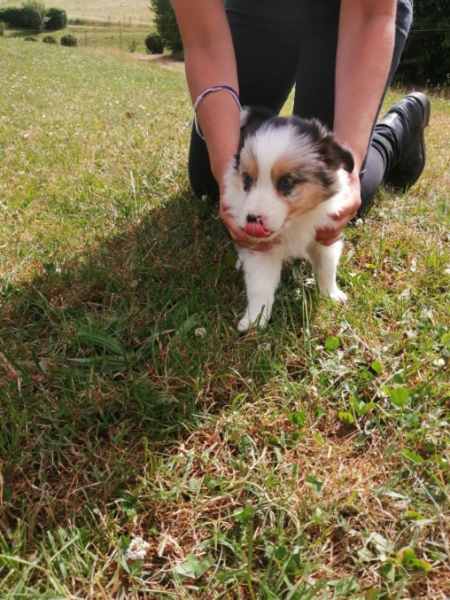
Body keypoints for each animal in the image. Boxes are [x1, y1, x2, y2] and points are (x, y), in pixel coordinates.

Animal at [225, 108, 356, 332]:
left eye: (286, 182)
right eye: (247, 180)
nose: (252, 219)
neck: (294, 222)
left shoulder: (326, 234)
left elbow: (327, 268)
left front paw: (331, 295)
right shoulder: (262, 250)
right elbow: (260, 286)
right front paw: (254, 321)